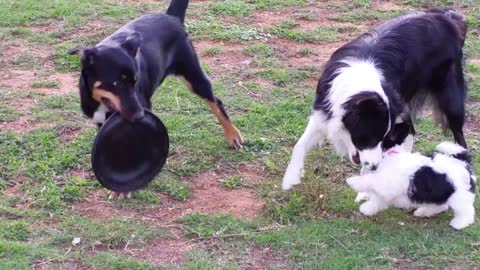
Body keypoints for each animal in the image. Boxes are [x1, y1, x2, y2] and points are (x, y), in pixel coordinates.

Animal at [68, 0, 244, 198]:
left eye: (135, 81)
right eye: (116, 84)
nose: (139, 116)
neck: (100, 102)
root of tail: (172, 17)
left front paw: (123, 189)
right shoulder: (101, 122)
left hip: (193, 75)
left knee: (216, 102)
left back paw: (232, 135)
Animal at [284, 8, 466, 190]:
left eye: (382, 139)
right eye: (369, 137)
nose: (375, 167)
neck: (359, 81)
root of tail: (447, 17)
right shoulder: (324, 112)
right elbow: (299, 144)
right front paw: (290, 177)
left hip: (451, 100)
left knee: (458, 136)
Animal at [346, 141, 474, 230]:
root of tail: (463, 163)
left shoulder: (387, 183)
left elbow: (371, 180)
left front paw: (353, 181)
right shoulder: (387, 190)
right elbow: (377, 200)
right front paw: (367, 208)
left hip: (459, 197)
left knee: (466, 211)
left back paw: (459, 223)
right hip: (436, 195)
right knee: (441, 206)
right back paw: (423, 212)